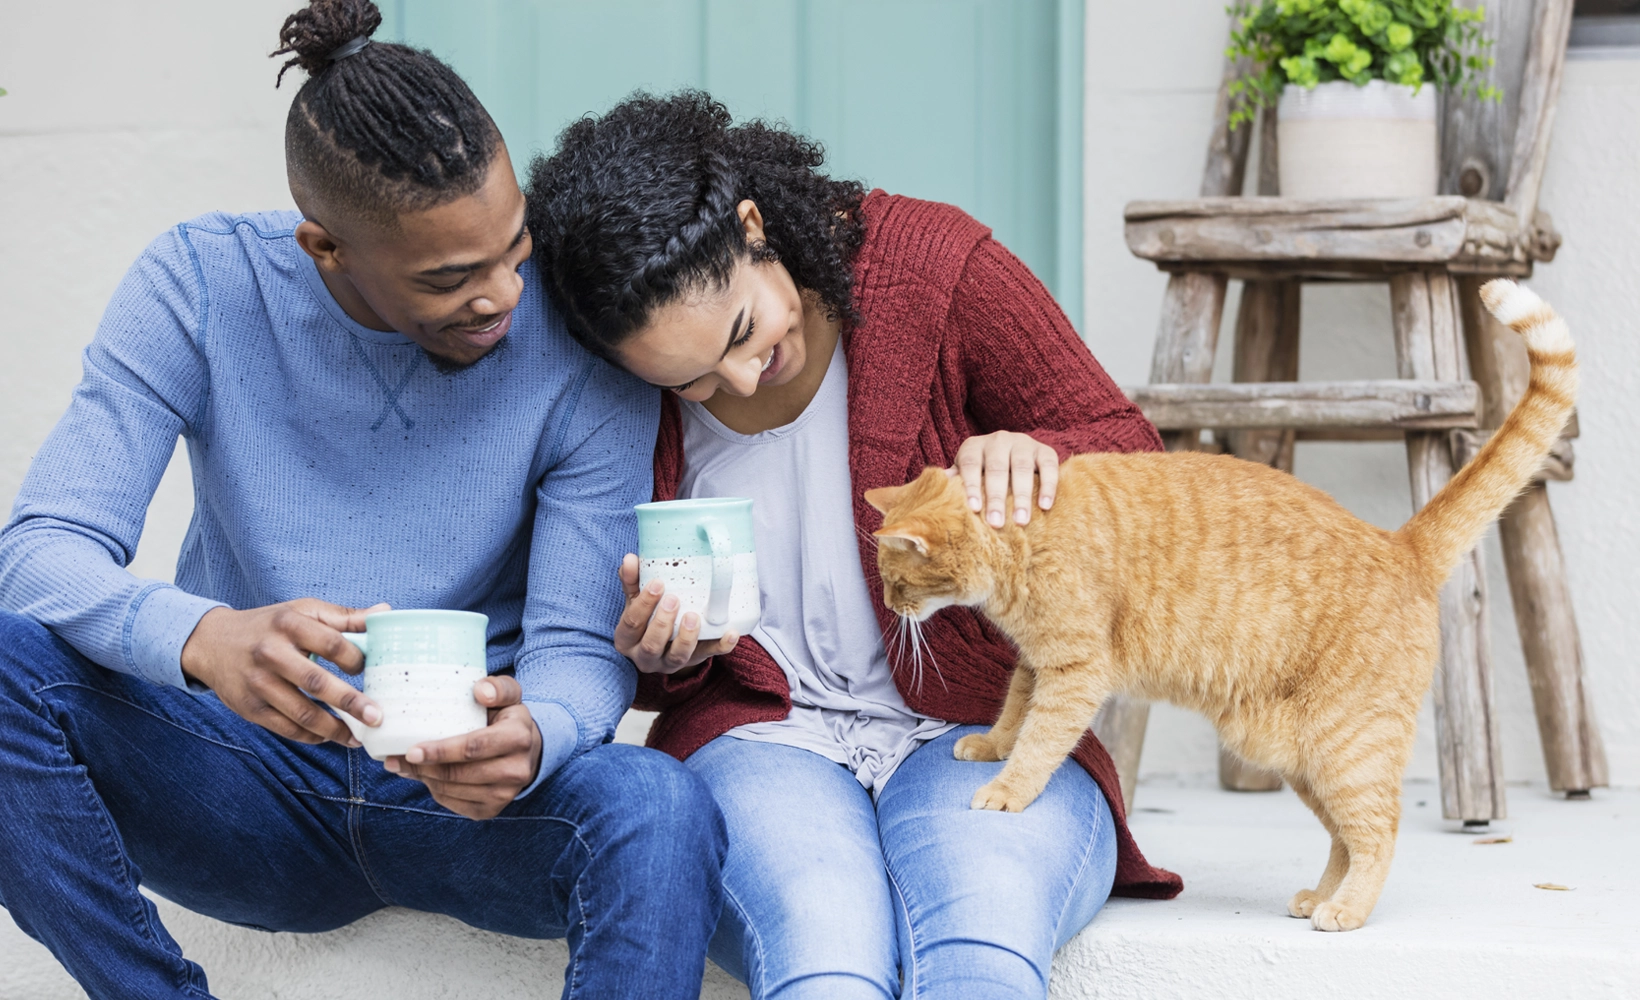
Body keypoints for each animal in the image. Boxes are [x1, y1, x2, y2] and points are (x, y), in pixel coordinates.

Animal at [865, 278, 1567, 924]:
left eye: (897, 582)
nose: (894, 610)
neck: (1020, 537)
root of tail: (1401, 544)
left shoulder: (1074, 671)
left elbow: (1040, 739)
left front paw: (1006, 787)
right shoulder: (1038, 661)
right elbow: (1014, 712)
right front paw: (990, 746)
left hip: (1346, 748)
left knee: (1378, 831)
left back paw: (1345, 910)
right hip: (1304, 760)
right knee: (1343, 836)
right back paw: (1320, 896)